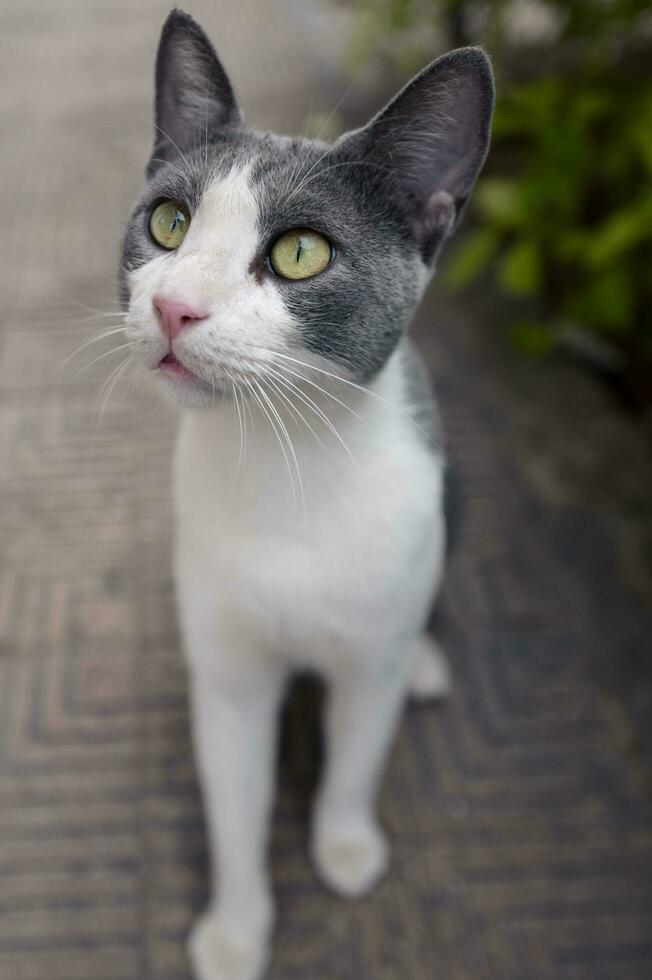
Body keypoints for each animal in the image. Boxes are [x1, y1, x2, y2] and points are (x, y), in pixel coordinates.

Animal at [119, 9, 492, 980]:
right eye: (168, 222)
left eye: (298, 252)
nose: (173, 306)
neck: (285, 470)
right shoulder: (230, 675)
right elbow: (235, 804)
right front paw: (236, 928)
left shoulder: (367, 653)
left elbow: (355, 759)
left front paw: (345, 847)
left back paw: (425, 662)